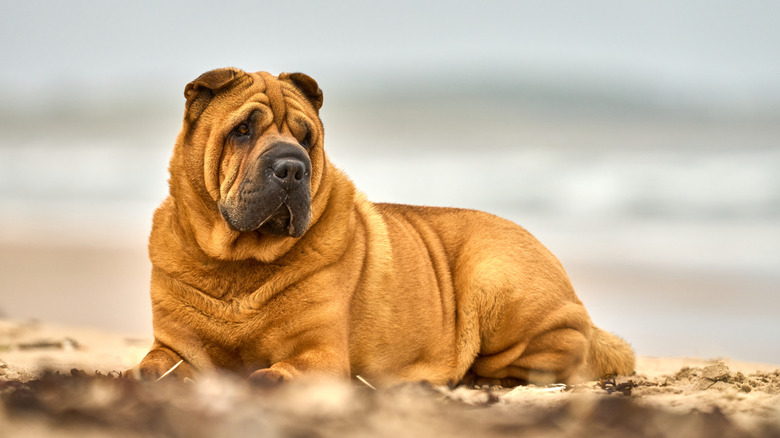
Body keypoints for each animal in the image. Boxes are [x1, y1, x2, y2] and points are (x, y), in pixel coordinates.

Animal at [134, 67, 632, 386]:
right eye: (242, 130)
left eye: (307, 138)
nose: (292, 167)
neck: (238, 263)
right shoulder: (176, 348)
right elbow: (151, 366)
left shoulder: (319, 353)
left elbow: (271, 376)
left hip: (497, 280)